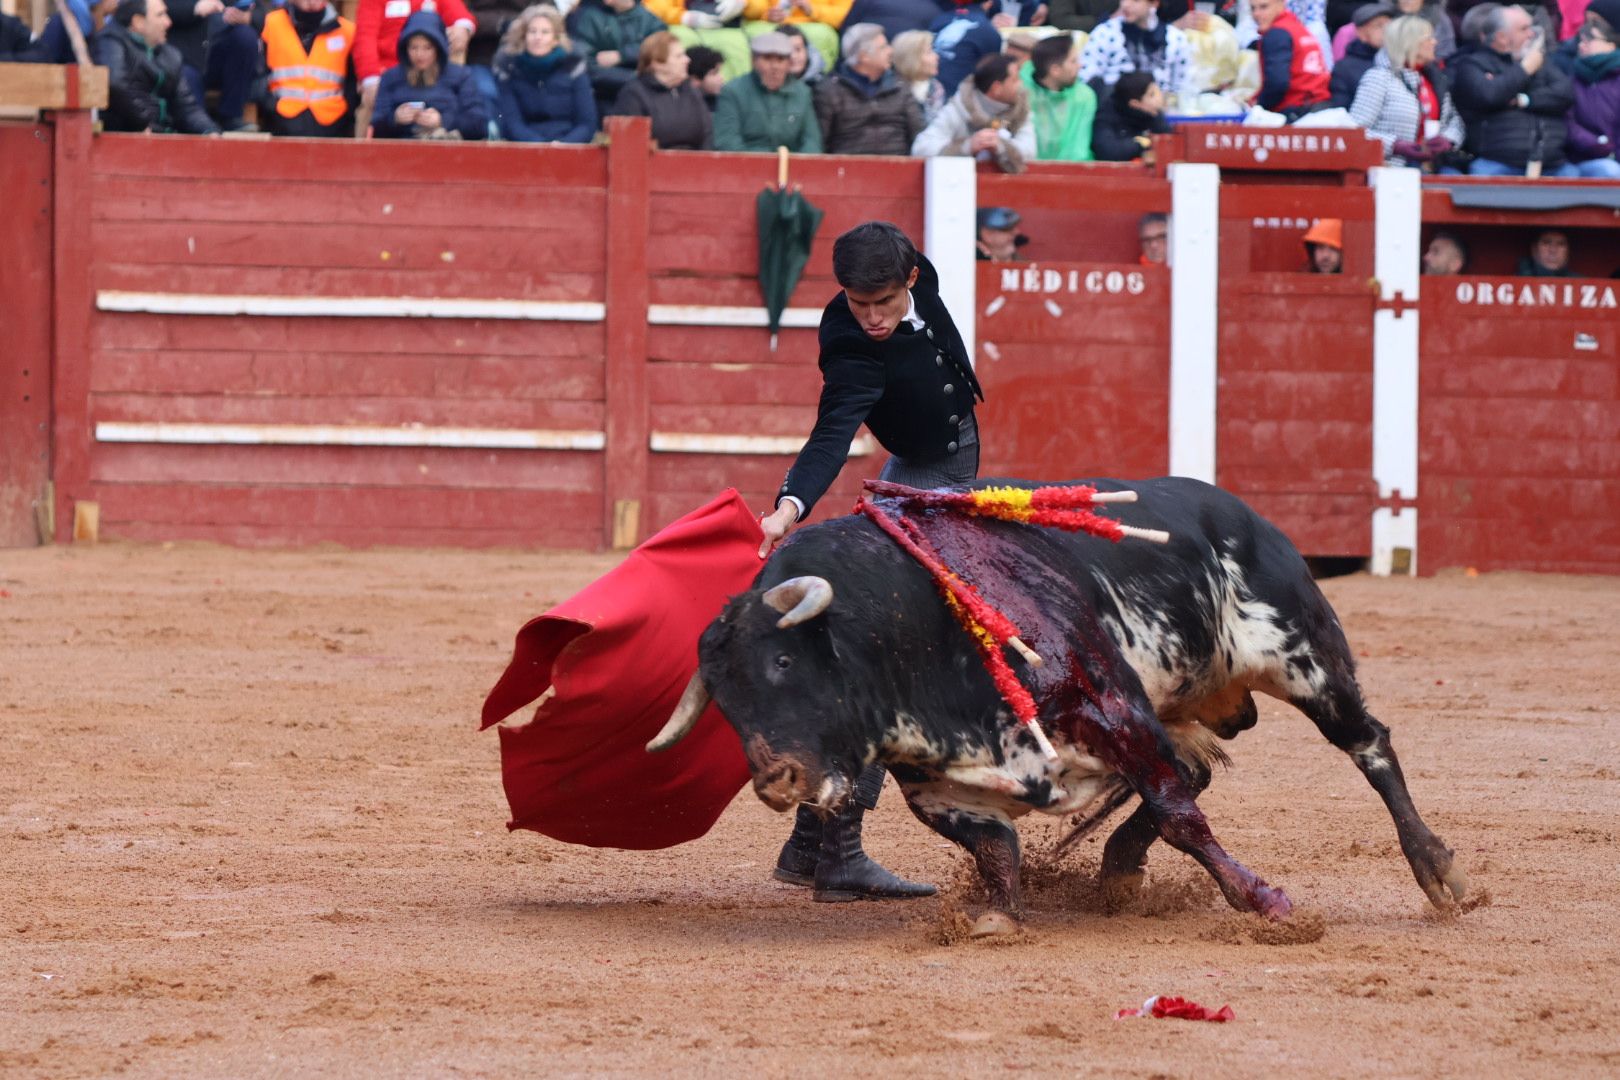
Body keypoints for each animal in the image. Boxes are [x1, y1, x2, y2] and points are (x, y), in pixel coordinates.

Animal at [644, 476, 1470, 932]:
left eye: (783, 661)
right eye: (724, 701)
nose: (778, 781)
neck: (909, 624)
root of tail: (1237, 510)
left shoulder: (1114, 710)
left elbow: (1178, 814)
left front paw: (1264, 902)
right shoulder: (935, 786)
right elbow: (996, 845)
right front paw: (999, 916)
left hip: (1305, 658)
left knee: (1367, 744)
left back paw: (1438, 872)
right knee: (1195, 772)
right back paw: (1118, 870)